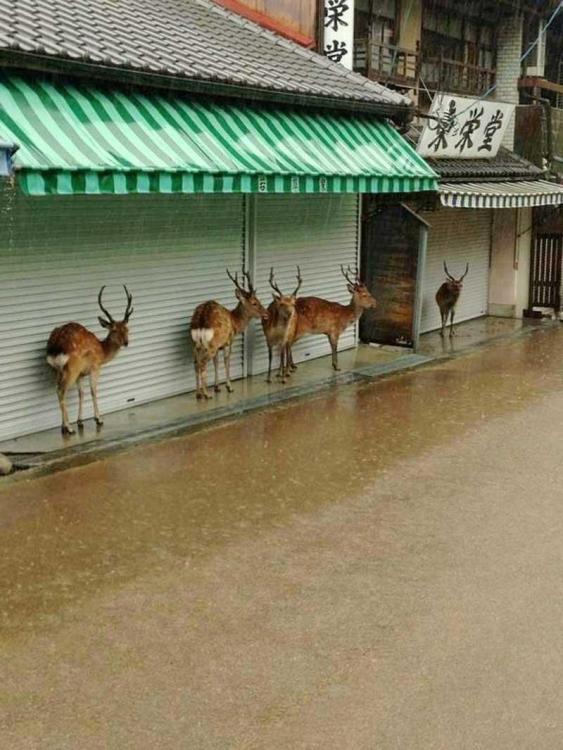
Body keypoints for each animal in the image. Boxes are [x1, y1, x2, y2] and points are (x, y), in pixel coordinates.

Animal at [46, 285, 134, 435]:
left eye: (126, 329)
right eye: (114, 330)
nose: (126, 342)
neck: (102, 351)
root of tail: (55, 345)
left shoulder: (81, 375)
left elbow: (81, 393)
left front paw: (80, 421)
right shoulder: (95, 367)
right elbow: (93, 390)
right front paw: (98, 419)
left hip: (57, 370)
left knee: (57, 389)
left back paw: (64, 426)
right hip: (72, 368)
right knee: (62, 391)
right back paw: (68, 428)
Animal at [190, 269, 268, 400]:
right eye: (255, 303)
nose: (266, 313)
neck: (235, 322)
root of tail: (201, 320)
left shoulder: (218, 346)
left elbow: (216, 363)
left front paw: (217, 387)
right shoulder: (228, 341)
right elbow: (226, 361)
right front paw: (229, 387)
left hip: (196, 344)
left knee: (196, 363)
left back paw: (198, 393)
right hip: (210, 345)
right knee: (202, 363)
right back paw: (206, 394)